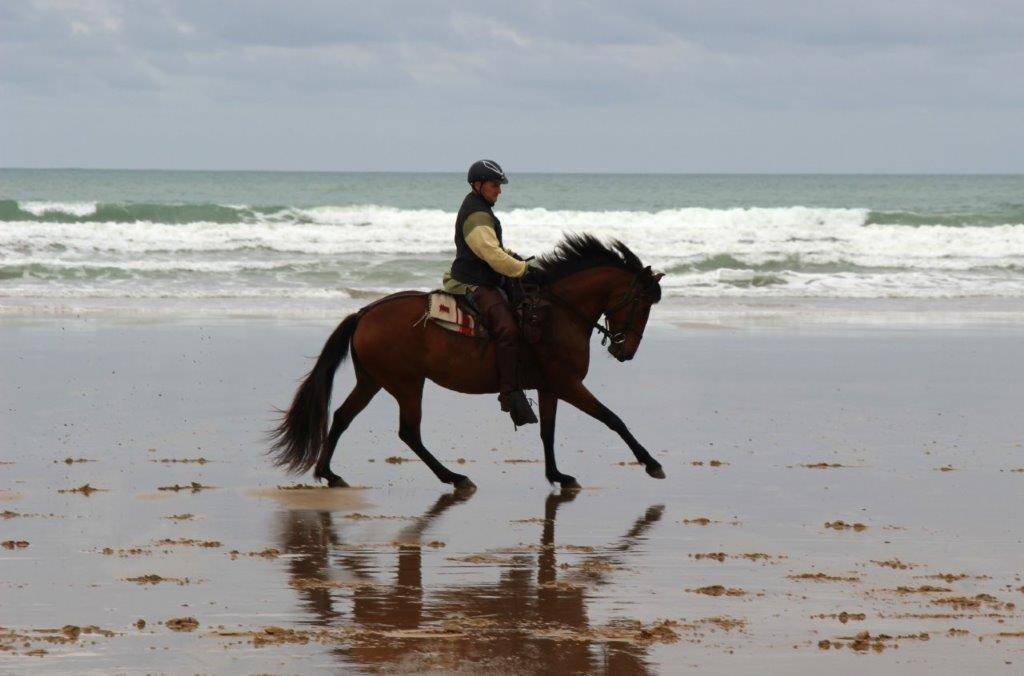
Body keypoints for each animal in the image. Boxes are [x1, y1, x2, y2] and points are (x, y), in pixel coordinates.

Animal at [270, 233, 665, 491]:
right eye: (641, 303)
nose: (626, 350)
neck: (557, 314)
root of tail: (365, 313)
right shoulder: (569, 385)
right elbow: (613, 419)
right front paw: (651, 463)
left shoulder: (550, 387)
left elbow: (548, 432)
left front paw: (557, 476)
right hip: (406, 384)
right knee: (408, 432)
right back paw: (454, 478)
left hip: (373, 380)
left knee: (342, 417)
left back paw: (329, 474)